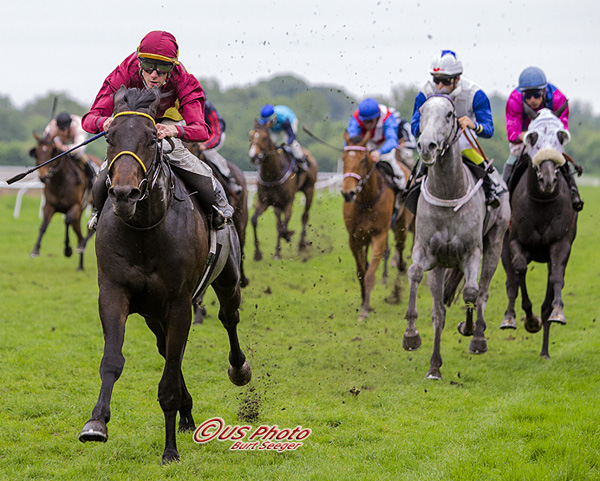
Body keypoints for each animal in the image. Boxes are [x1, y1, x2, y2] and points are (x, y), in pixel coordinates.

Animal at [29, 131, 101, 270]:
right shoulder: (49, 206)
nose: (43, 176)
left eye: (52, 152)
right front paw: (35, 250)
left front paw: (67, 249)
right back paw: (80, 264)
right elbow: (43, 225)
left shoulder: (75, 206)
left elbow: (67, 220)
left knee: (85, 232)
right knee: (79, 234)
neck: (60, 181)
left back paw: (81, 247)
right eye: (37, 153)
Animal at [78, 88, 251, 464]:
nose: (124, 194)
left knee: (228, 318)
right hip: (152, 313)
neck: (144, 229)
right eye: (110, 139)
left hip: (227, 280)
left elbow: (169, 378)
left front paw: (170, 450)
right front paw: (96, 423)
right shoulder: (114, 292)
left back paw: (238, 369)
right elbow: (112, 360)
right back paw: (187, 413)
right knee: (166, 348)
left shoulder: (179, 302)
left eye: (151, 139)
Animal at [248, 122, 318, 260]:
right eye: (252, 136)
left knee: (304, 216)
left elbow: (283, 228)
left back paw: (301, 245)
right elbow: (254, 220)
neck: (272, 175)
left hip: (309, 190)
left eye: (265, 138)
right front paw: (258, 253)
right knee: (279, 222)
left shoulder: (287, 203)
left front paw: (287, 238)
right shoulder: (264, 201)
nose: (253, 155)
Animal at [342, 131, 412, 318]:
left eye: (363, 160)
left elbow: (370, 274)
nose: (347, 193)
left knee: (400, 249)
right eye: (343, 158)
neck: (366, 200)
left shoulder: (379, 235)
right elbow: (361, 272)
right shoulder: (354, 238)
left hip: (402, 226)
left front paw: (365, 310)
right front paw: (363, 301)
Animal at [500, 108, 580, 356]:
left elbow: (556, 278)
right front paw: (528, 318)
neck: (542, 203)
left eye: (560, 137)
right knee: (511, 281)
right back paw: (509, 317)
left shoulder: (561, 244)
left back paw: (545, 350)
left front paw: (557, 312)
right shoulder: (516, 241)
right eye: (533, 138)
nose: (547, 180)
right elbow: (519, 269)